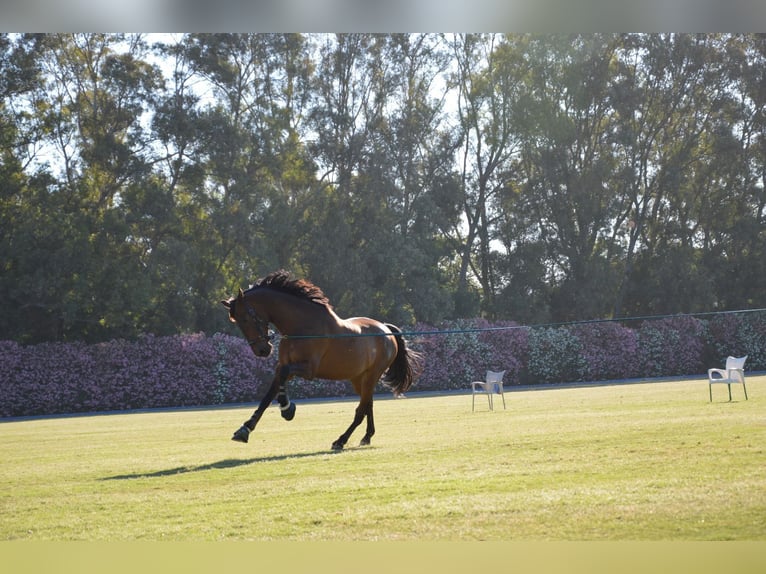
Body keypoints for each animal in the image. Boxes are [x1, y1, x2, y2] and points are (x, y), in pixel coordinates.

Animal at [221, 270, 423, 451]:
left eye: (246, 318)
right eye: (237, 321)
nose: (262, 350)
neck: (301, 326)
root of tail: (385, 329)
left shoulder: (308, 370)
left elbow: (282, 381)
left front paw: (287, 409)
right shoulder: (284, 366)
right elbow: (268, 395)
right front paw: (245, 429)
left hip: (372, 375)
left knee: (361, 409)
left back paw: (341, 440)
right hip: (359, 378)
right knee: (368, 405)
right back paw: (366, 437)